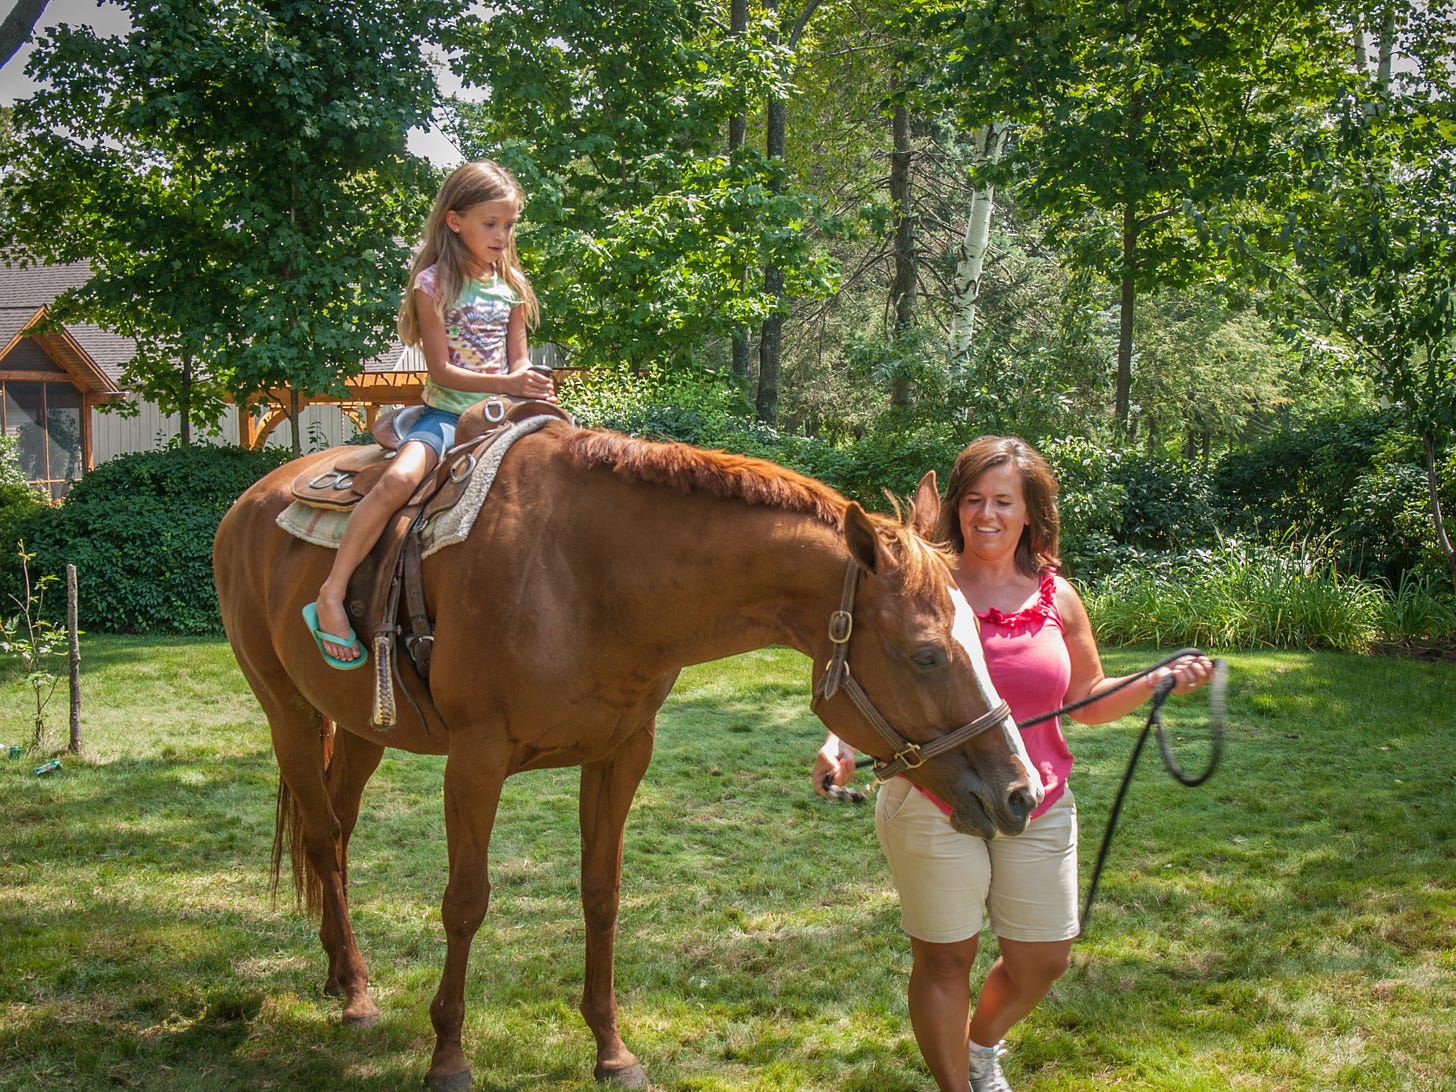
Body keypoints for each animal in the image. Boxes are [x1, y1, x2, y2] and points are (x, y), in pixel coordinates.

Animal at [211, 422, 1042, 1092]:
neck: (585, 575)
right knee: (322, 837)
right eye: (927, 654)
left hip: (359, 730)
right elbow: (466, 902)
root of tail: (249, 499)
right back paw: (354, 991)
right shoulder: (475, 760)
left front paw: (611, 1050)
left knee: (338, 835)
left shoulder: (622, 754)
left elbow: (602, 897)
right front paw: (448, 1057)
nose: (1020, 793)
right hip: (288, 714)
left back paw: (336, 971)